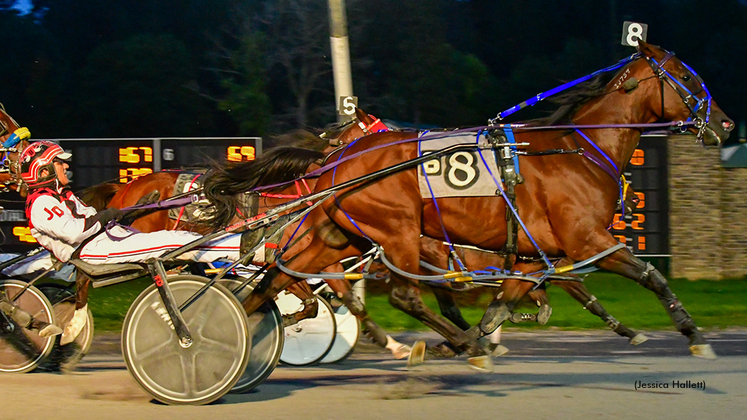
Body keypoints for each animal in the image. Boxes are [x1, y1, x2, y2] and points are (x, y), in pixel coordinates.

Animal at [228, 41, 732, 368]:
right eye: (687, 77)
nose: (725, 125)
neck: (578, 150)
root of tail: (338, 161)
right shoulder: (587, 241)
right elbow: (651, 277)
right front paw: (694, 335)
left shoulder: (535, 259)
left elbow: (500, 309)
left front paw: (480, 340)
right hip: (397, 231)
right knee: (400, 295)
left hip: (340, 235)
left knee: (274, 281)